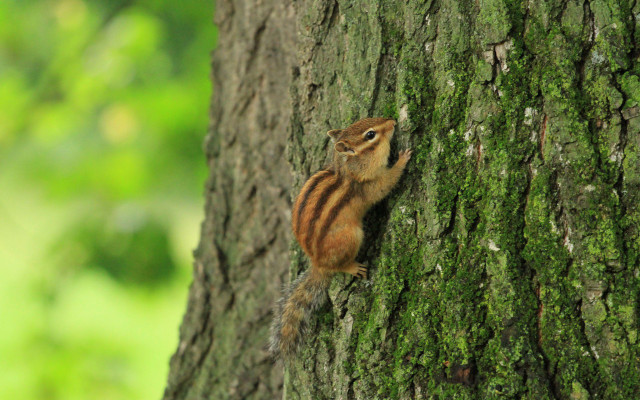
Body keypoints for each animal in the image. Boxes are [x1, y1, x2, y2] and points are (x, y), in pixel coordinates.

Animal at [269, 117, 412, 360]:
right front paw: (403, 158)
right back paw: (353, 267)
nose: (392, 122)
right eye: (370, 135)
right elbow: (386, 184)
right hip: (351, 236)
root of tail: (319, 264)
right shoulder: (368, 185)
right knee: (340, 266)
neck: (345, 169)